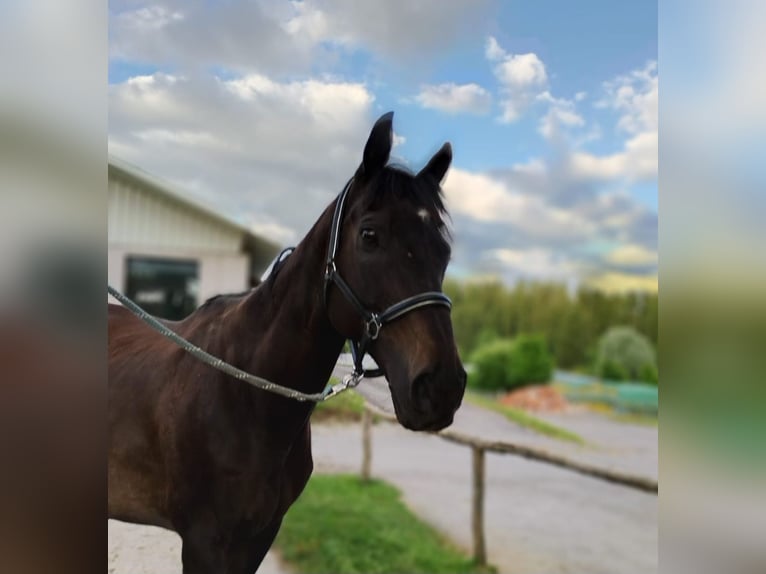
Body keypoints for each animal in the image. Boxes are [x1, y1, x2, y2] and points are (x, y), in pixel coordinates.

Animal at [108, 111, 467, 573]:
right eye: (370, 236)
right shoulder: (205, 542)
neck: (246, 393)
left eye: (443, 249)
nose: (441, 387)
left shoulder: (258, 536)